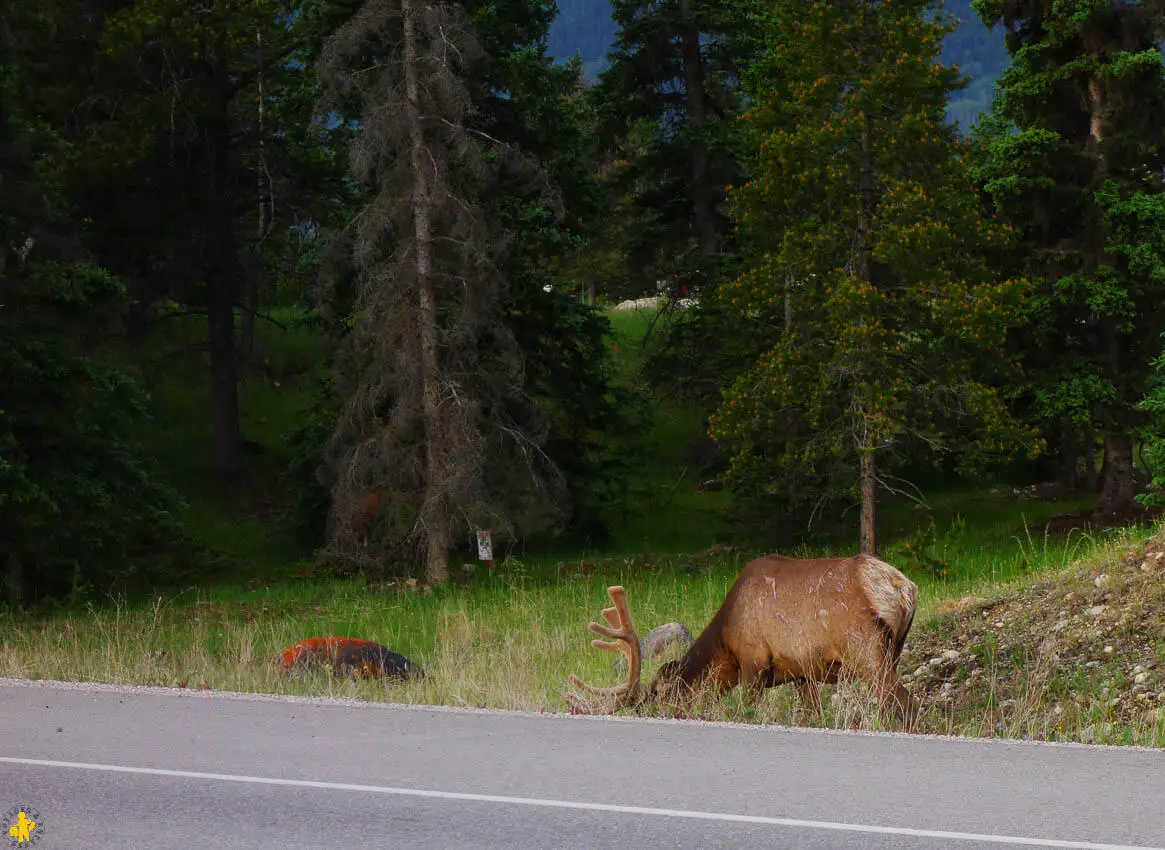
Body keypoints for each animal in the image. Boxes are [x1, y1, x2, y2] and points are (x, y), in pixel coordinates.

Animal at [563, 551, 918, 726]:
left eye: (660, 694)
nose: (649, 714)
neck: (726, 646)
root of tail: (902, 587)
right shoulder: (801, 671)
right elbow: (814, 715)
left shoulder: (754, 660)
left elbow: (746, 711)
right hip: (894, 650)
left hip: (867, 650)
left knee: (904, 702)